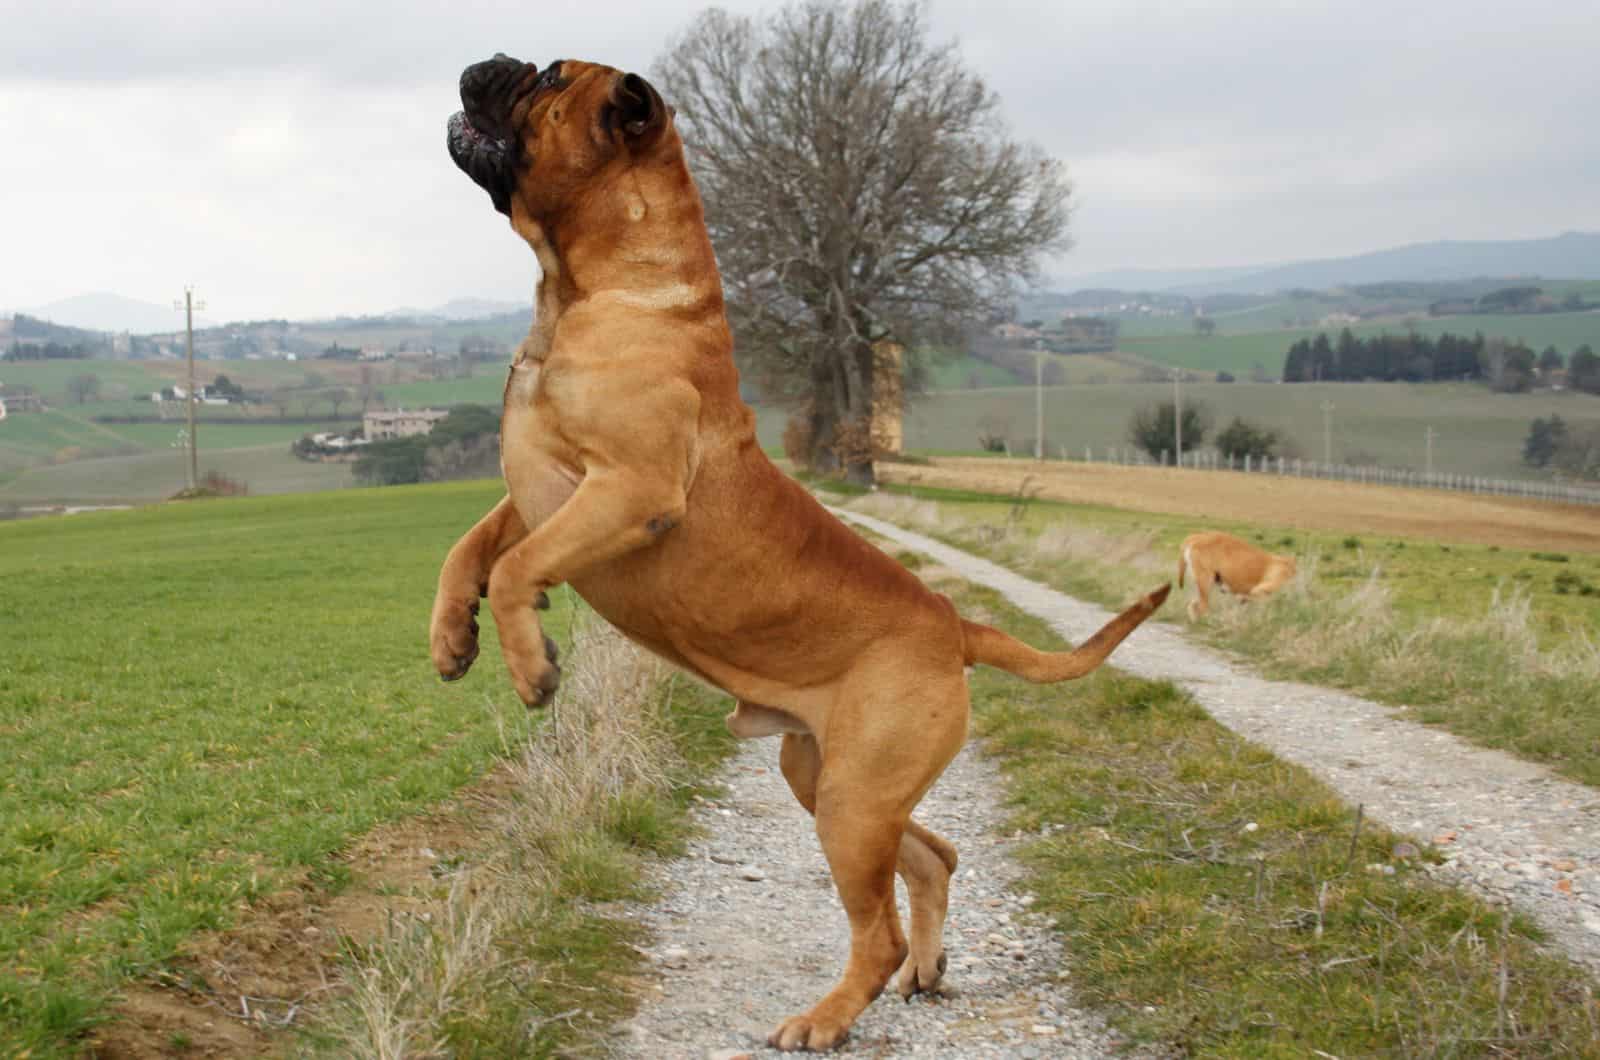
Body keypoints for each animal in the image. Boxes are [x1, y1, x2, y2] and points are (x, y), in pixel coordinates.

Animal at [432, 56, 1171, 1056]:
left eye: (546, 77)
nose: (487, 62)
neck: (586, 288)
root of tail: (956, 626)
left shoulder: (628, 488)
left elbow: (515, 565)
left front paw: (532, 666)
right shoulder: (539, 486)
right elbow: (471, 548)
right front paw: (453, 638)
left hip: (852, 801)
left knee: (879, 927)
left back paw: (824, 1018)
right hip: (826, 777)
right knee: (932, 856)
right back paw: (928, 971)